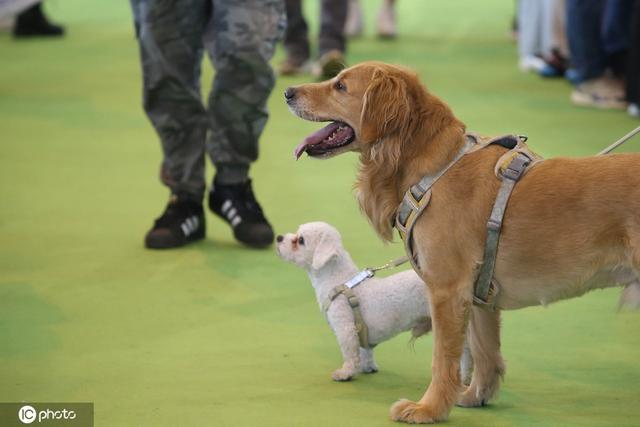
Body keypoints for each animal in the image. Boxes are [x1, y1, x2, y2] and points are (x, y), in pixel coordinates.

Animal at [278, 222, 472, 382]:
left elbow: (350, 354)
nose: (278, 237)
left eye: (300, 240)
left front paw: (345, 373)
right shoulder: (360, 331)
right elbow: (366, 351)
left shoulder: (345, 328)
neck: (339, 280)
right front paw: (368, 367)